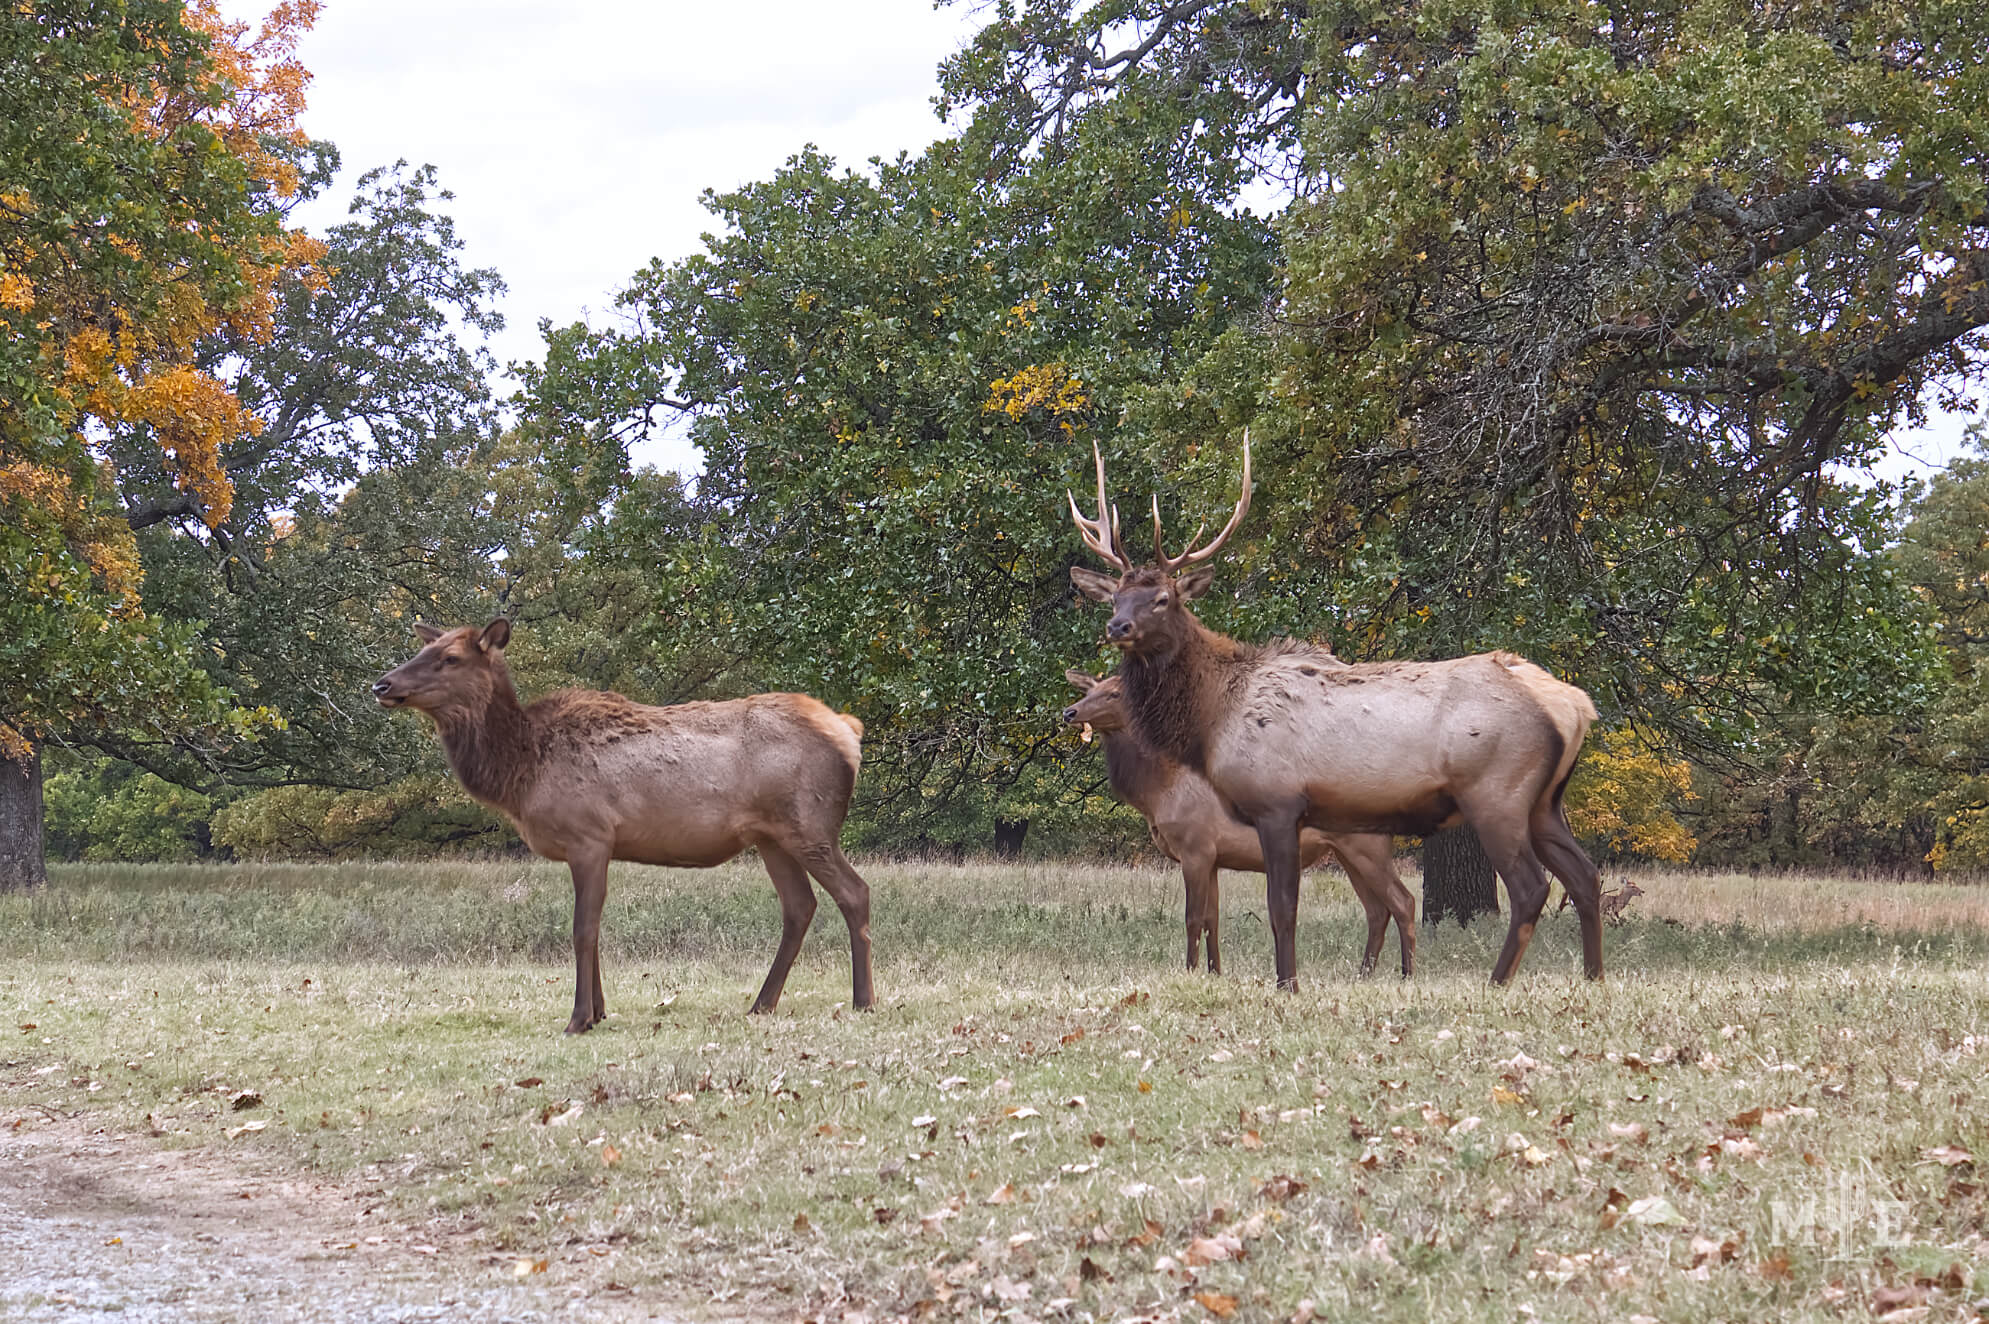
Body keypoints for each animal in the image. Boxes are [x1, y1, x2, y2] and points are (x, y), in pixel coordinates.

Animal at [373, 619, 874, 1034]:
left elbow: (582, 930)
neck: (521, 773)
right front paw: (598, 1012)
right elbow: (594, 930)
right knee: (799, 906)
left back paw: (863, 1000)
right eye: (424, 648)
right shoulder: (598, 846)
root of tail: (850, 730)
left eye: (450, 658)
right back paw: (761, 1004)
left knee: (855, 892)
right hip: (771, 837)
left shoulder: (588, 836)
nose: (382, 683)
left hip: (811, 826)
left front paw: (578, 1019)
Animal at [1062, 669, 1417, 977]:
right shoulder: (1213, 857)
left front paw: (1189, 971)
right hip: (1348, 851)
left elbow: (1192, 917)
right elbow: (1212, 919)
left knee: (1403, 901)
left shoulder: (1195, 847)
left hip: (1366, 847)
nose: (1070, 711)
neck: (1158, 792)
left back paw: (1406, 973)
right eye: (1089, 690)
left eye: (1114, 693)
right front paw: (1215, 972)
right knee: (1377, 909)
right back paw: (1364, 974)